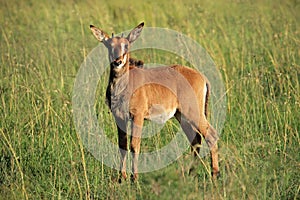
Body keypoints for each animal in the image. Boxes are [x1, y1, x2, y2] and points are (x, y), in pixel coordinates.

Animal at [90, 22, 219, 181]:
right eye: (109, 45)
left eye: (126, 45)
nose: (118, 62)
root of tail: (202, 77)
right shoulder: (119, 118)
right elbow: (122, 146)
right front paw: (122, 178)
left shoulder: (137, 116)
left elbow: (134, 145)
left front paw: (134, 178)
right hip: (181, 116)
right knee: (195, 141)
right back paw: (191, 174)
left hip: (193, 113)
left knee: (211, 136)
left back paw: (215, 174)